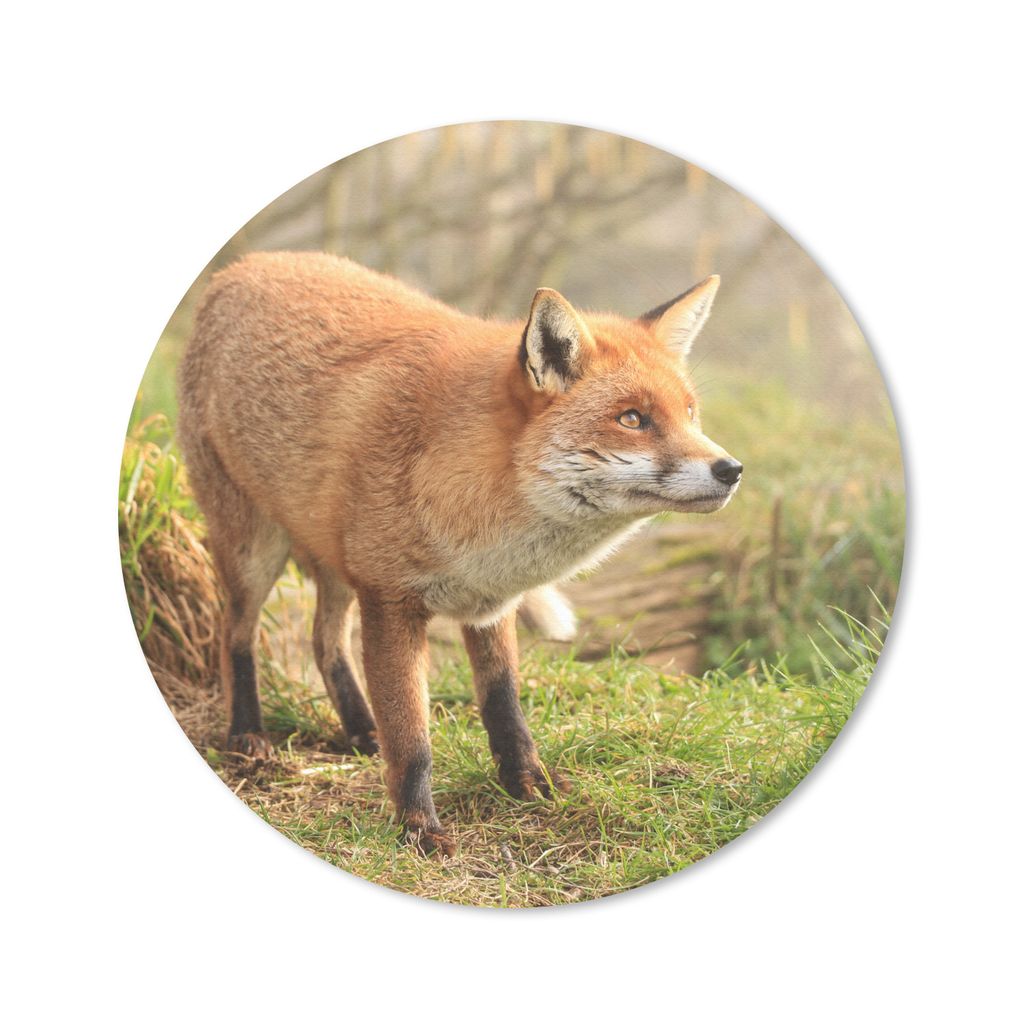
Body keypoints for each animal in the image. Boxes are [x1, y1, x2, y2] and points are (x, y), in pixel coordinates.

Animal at [177, 251, 742, 854]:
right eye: (632, 418)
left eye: (690, 413)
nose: (731, 470)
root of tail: (244, 265)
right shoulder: (390, 601)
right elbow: (413, 738)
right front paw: (418, 828)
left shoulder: (490, 602)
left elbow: (504, 706)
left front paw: (531, 786)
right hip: (253, 551)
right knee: (236, 635)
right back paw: (247, 735)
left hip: (335, 562)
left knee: (323, 640)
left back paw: (361, 730)